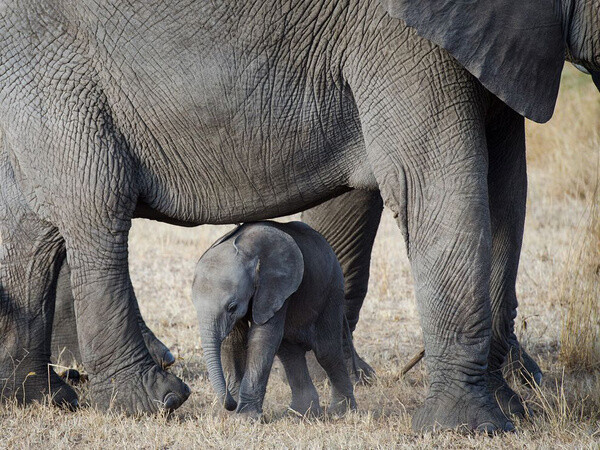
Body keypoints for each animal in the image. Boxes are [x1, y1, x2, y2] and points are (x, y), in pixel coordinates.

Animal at [193, 221, 356, 418]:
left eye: (232, 307)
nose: (231, 404)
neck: (247, 251)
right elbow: (234, 340)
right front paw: (237, 413)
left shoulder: (277, 287)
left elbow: (263, 337)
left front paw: (245, 417)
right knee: (289, 351)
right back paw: (301, 414)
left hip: (332, 289)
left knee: (327, 351)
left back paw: (341, 412)